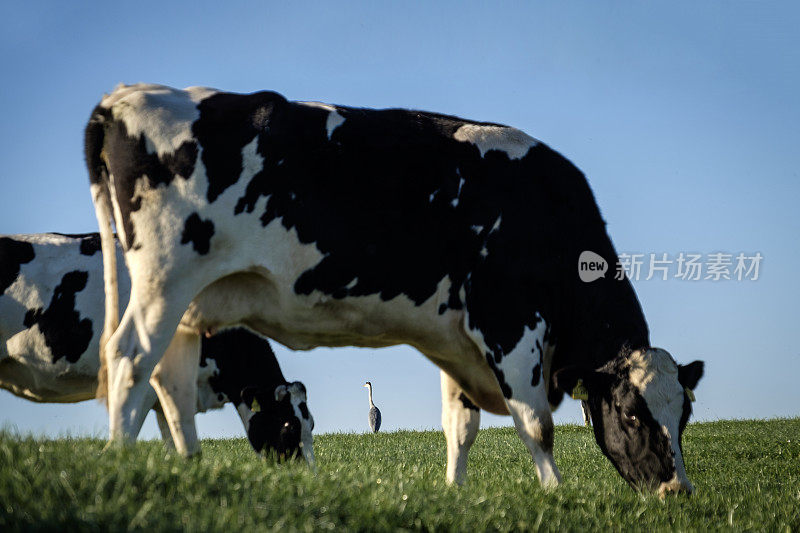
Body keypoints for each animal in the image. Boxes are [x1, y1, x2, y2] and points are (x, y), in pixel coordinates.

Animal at [84, 81, 704, 492]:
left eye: (685, 416)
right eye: (631, 414)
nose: (677, 491)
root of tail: (127, 95)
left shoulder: (455, 338)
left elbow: (460, 428)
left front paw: (455, 495)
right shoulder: (507, 322)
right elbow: (536, 424)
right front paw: (554, 497)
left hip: (190, 304)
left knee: (171, 384)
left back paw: (187, 467)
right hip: (164, 279)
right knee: (128, 358)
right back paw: (117, 461)